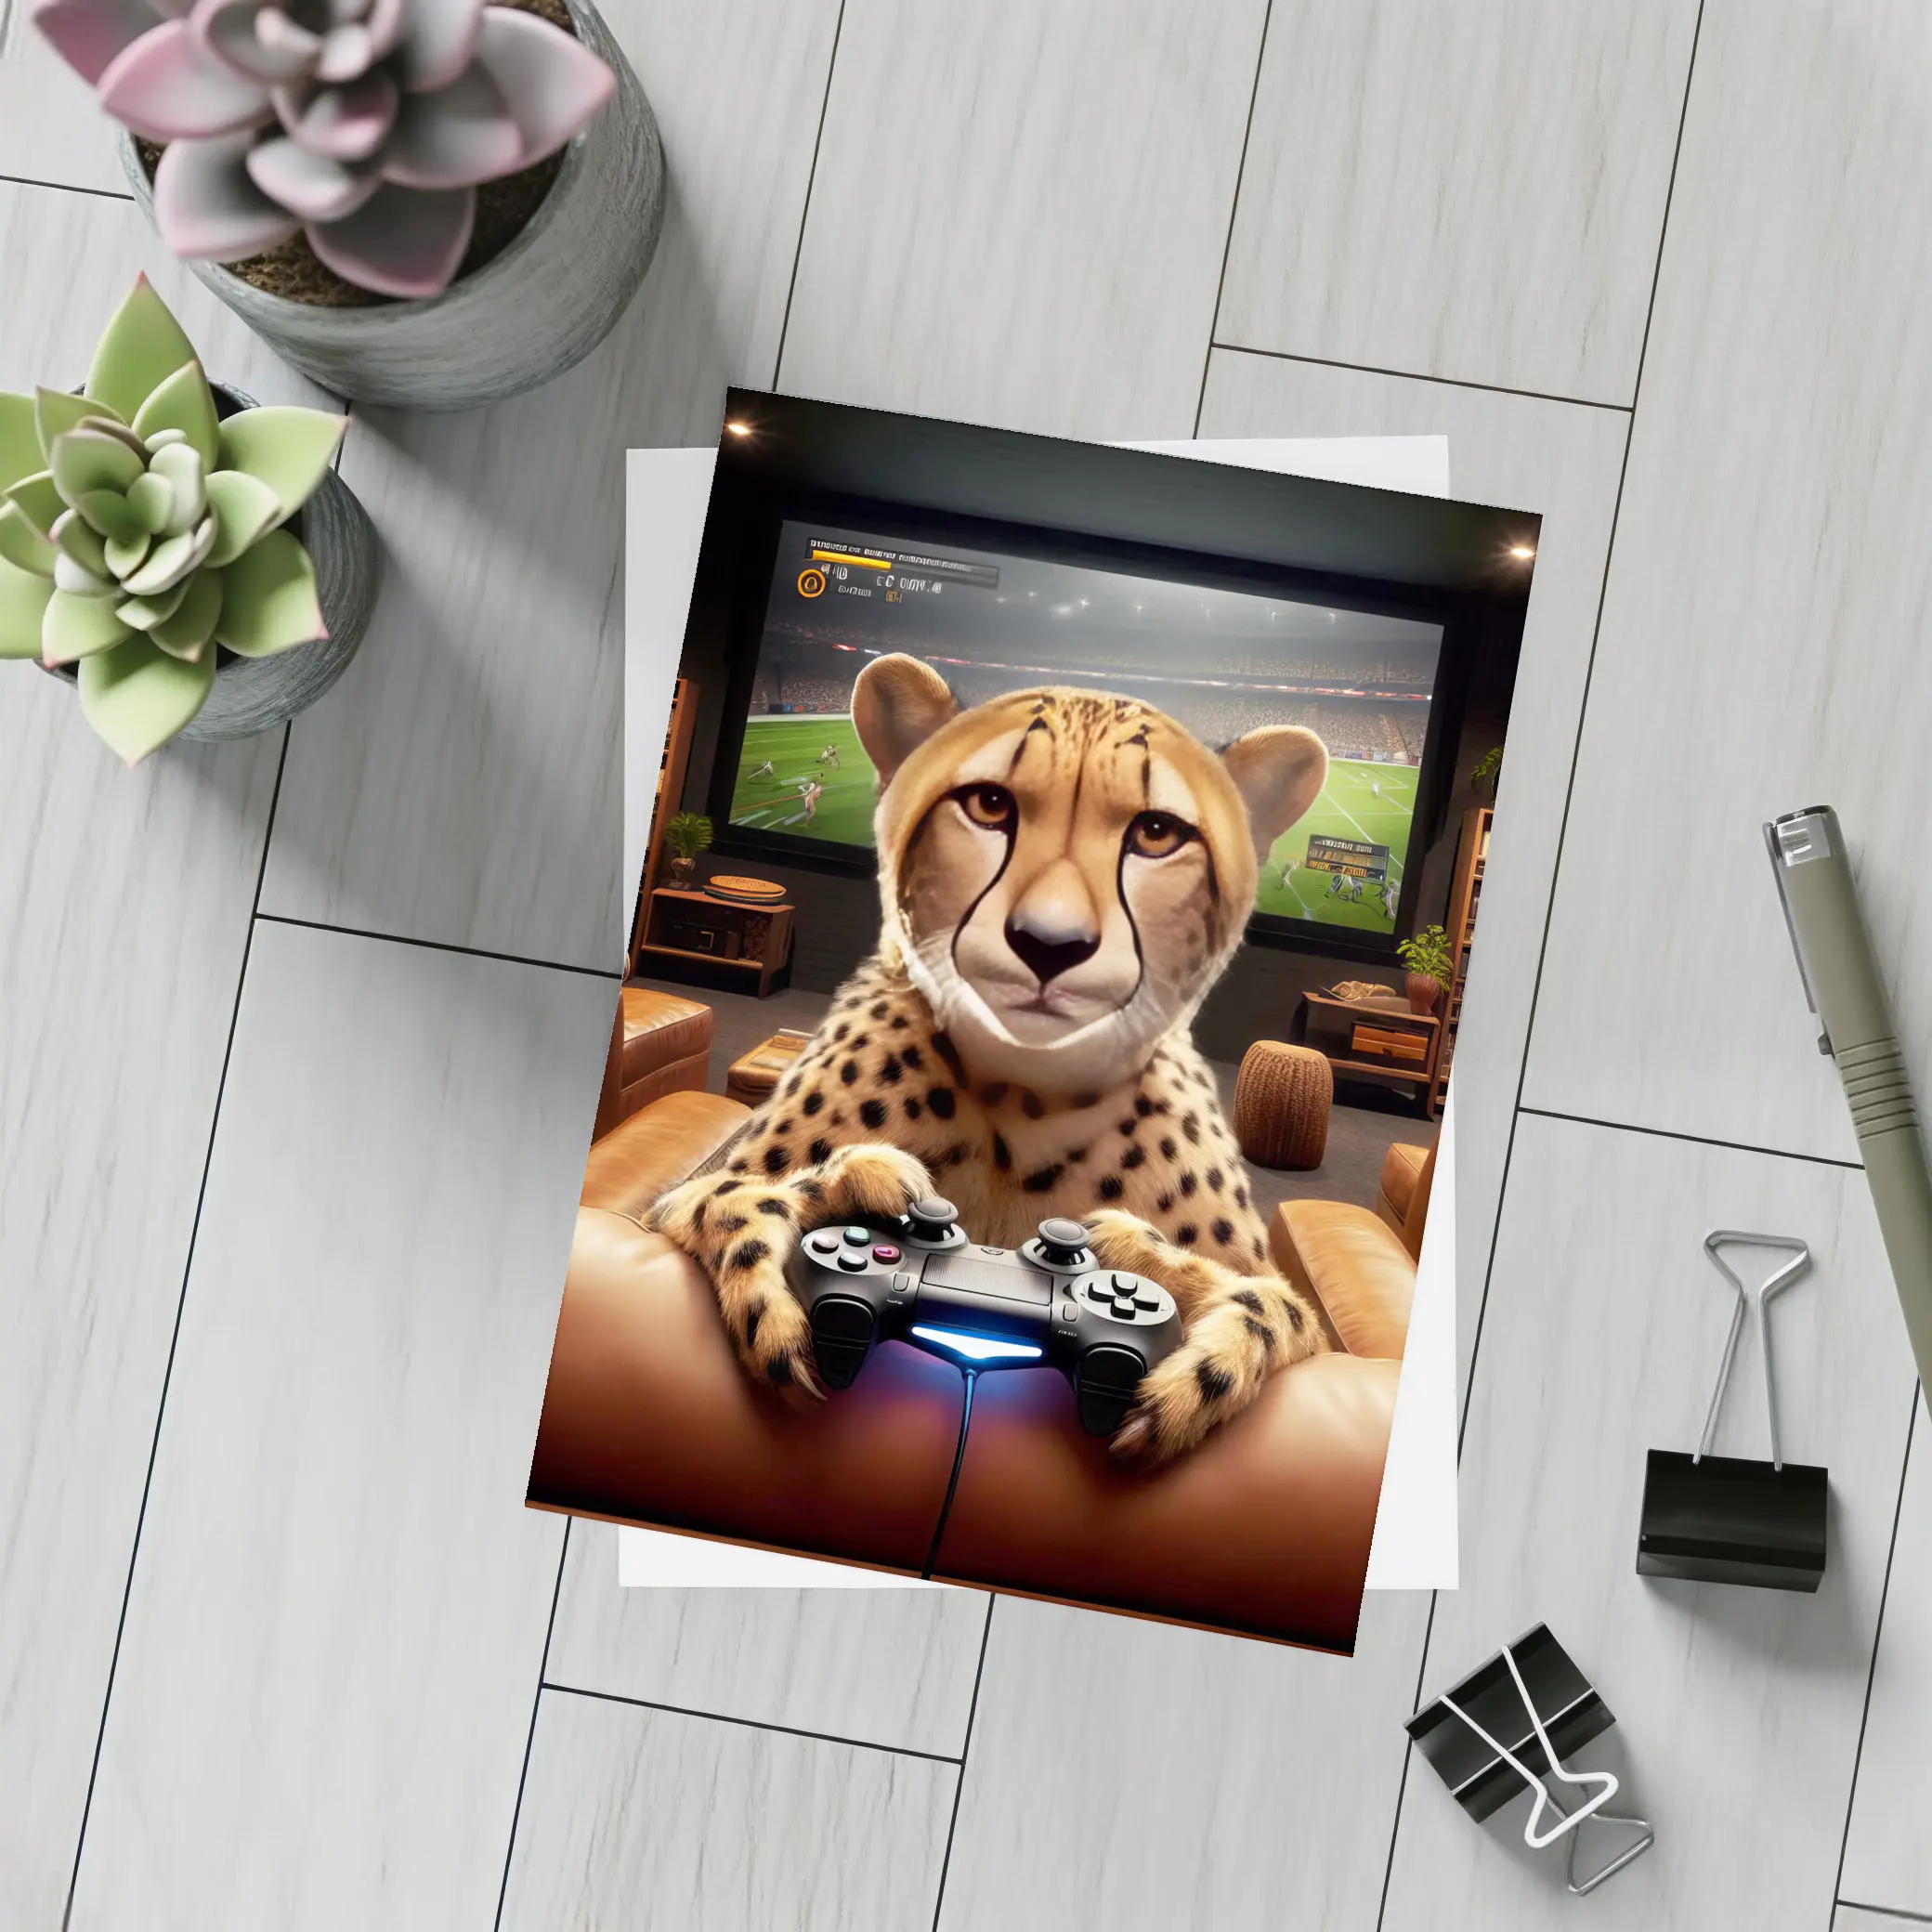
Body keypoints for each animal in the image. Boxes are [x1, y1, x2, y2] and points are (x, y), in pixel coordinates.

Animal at [649, 651, 1333, 1463]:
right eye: (988, 805)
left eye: (1158, 833)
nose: (1050, 943)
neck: (1028, 1099)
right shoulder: (668, 1205)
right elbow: (729, 1193)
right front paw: (863, 1191)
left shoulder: (1305, 1326)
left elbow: (1273, 1303)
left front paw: (1165, 1302)